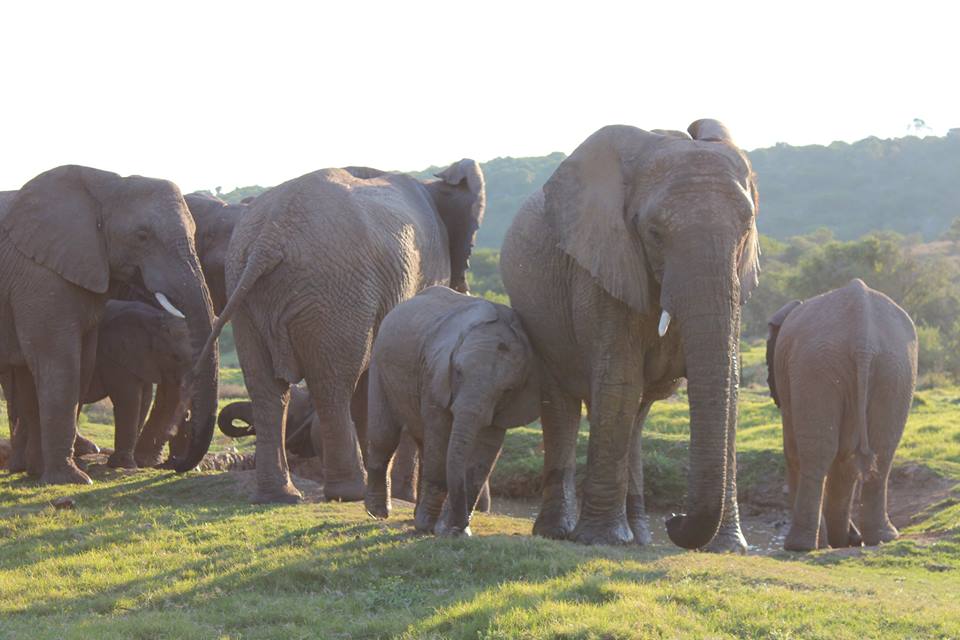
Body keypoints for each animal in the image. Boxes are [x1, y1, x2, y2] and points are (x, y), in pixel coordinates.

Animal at [0, 166, 218, 484]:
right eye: (142, 236)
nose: (176, 466)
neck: (106, 184)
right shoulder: (39, 275)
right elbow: (60, 363)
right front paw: (72, 479)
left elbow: (81, 364)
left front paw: (42, 474)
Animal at [193, 159, 488, 500]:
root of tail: (268, 238)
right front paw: (400, 496)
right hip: (336, 294)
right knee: (332, 383)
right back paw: (350, 492)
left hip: (246, 290)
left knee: (266, 387)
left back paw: (280, 495)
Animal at [366, 286, 536, 536]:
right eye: (458, 372)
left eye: (507, 390)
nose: (456, 528)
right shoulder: (435, 376)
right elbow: (439, 433)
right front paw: (430, 527)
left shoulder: (504, 406)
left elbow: (485, 449)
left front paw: (455, 531)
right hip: (379, 363)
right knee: (384, 436)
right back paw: (378, 513)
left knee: (422, 444)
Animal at [498, 121, 760, 552]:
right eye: (653, 232)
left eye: (746, 229)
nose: (673, 519)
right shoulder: (603, 263)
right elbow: (619, 379)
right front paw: (600, 541)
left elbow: (730, 383)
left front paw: (728, 548)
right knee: (564, 406)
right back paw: (558, 532)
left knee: (638, 414)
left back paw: (638, 537)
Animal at [764, 278, 916, 552]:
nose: (853, 537)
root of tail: (863, 336)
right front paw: (847, 540)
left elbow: (793, 451)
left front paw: (843, 540)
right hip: (893, 369)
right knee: (882, 450)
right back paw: (882, 538)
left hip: (818, 365)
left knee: (814, 454)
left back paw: (801, 546)